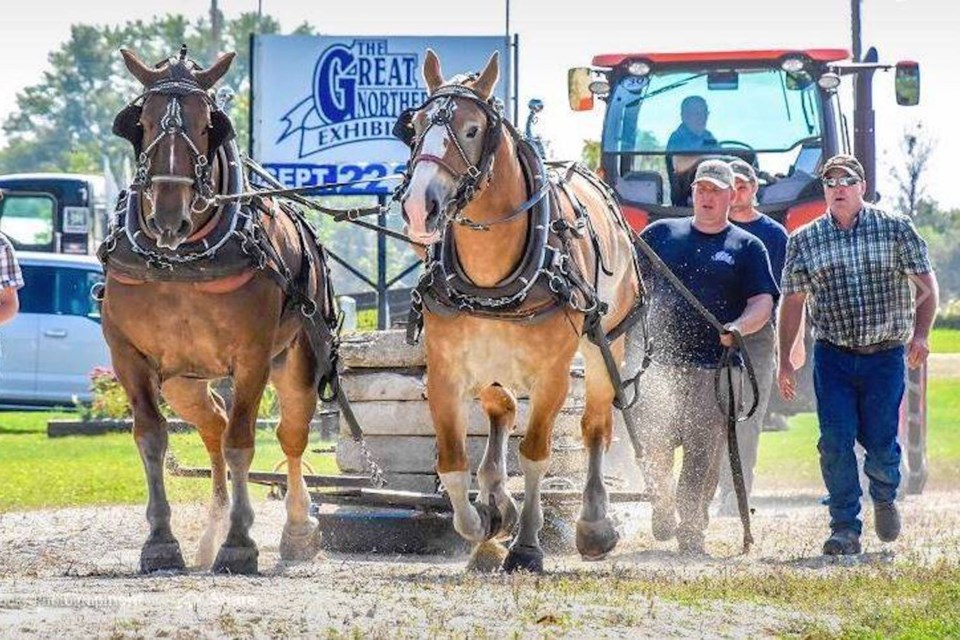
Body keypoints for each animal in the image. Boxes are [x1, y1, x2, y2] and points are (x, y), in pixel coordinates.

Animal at [101, 47, 340, 572]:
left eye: (207, 124)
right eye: (142, 122)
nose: (169, 216)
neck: (182, 259)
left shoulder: (251, 358)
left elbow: (242, 441)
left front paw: (240, 542)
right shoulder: (128, 357)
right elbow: (152, 438)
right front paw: (161, 541)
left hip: (295, 362)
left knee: (290, 434)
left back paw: (298, 529)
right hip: (182, 380)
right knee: (211, 423)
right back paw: (212, 528)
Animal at [398, 50, 644, 568]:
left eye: (472, 129)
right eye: (418, 125)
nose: (418, 207)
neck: (491, 274)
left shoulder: (553, 374)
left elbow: (535, 454)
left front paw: (527, 544)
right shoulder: (445, 370)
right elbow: (452, 463)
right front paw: (484, 523)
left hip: (604, 342)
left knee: (596, 425)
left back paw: (594, 524)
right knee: (503, 407)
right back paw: (497, 500)